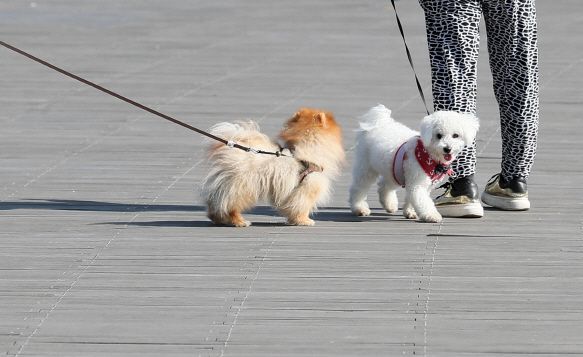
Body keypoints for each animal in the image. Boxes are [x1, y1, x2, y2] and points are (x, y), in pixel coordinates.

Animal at [203, 107, 344, 227]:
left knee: (216, 203)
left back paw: (218, 219)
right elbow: (302, 205)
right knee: (230, 205)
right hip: (245, 187)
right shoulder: (308, 187)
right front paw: (304, 220)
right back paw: (239, 221)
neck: (309, 145)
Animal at [352, 104, 480, 221]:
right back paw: (359, 208)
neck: (429, 154)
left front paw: (410, 212)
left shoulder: (419, 182)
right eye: (439, 135)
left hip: (392, 170)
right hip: (366, 168)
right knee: (358, 187)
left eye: (455, 135)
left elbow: (411, 198)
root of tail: (378, 124)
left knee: (384, 186)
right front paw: (432, 215)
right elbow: (423, 201)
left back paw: (390, 205)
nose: (447, 149)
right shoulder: (417, 183)